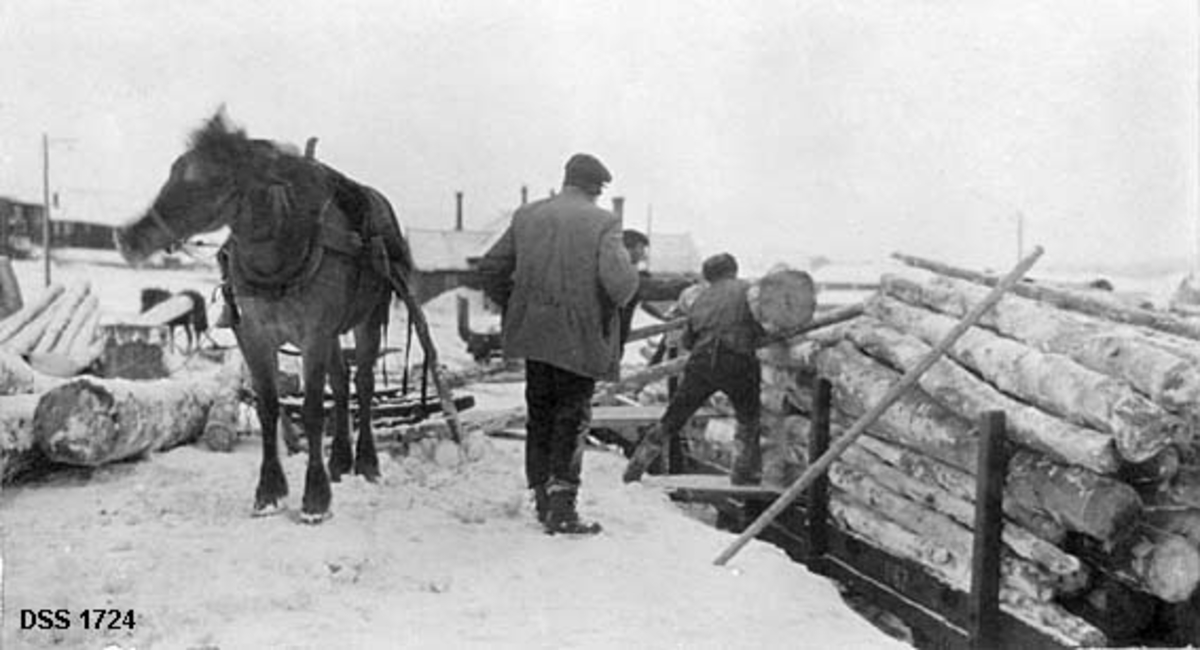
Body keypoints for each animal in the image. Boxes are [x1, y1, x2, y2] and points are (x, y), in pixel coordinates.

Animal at [113, 110, 436, 525]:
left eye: (211, 179)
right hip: (333, 332)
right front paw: (269, 493)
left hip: (369, 318)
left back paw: (366, 463)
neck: (282, 253)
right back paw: (339, 461)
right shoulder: (253, 336)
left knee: (362, 384)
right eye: (173, 170)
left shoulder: (314, 335)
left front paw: (315, 499)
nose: (128, 237)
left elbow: (313, 411)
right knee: (341, 382)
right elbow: (269, 408)